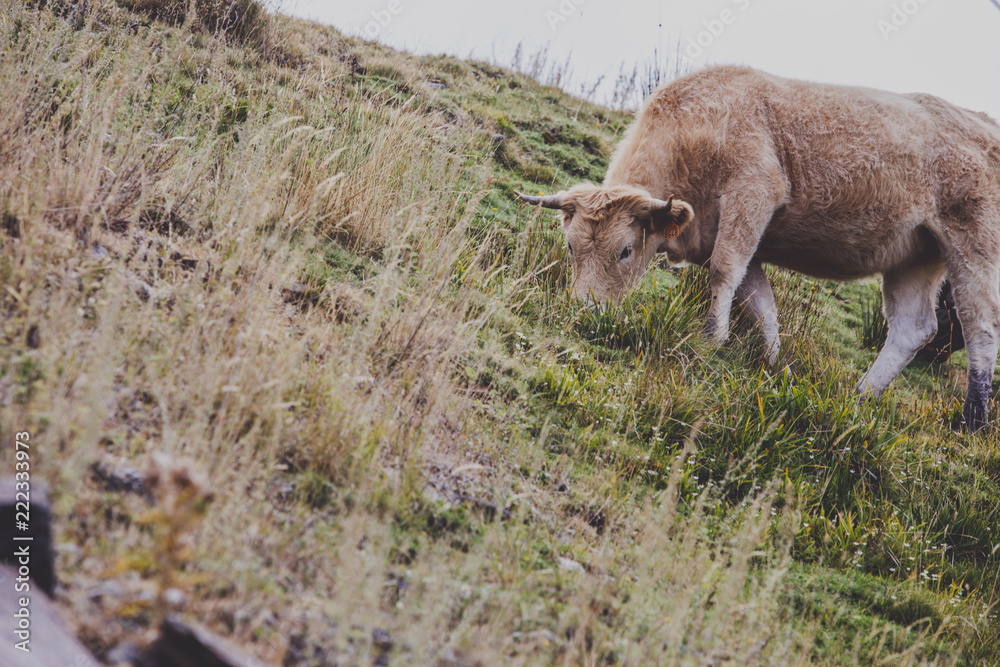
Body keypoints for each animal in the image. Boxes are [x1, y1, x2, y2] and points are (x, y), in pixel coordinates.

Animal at [516, 65, 1000, 431]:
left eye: (625, 251)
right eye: (571, 247)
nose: (584, 308)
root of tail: (980, 120)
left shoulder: (752, 195)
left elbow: (723, 273)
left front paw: (711, 339)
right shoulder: (732, 235)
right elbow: (760, 305)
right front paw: (773, 367)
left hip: (973, 245)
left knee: (980, 328)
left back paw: (972, 419)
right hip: (916, 256)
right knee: (913, 328)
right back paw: (860, 397)